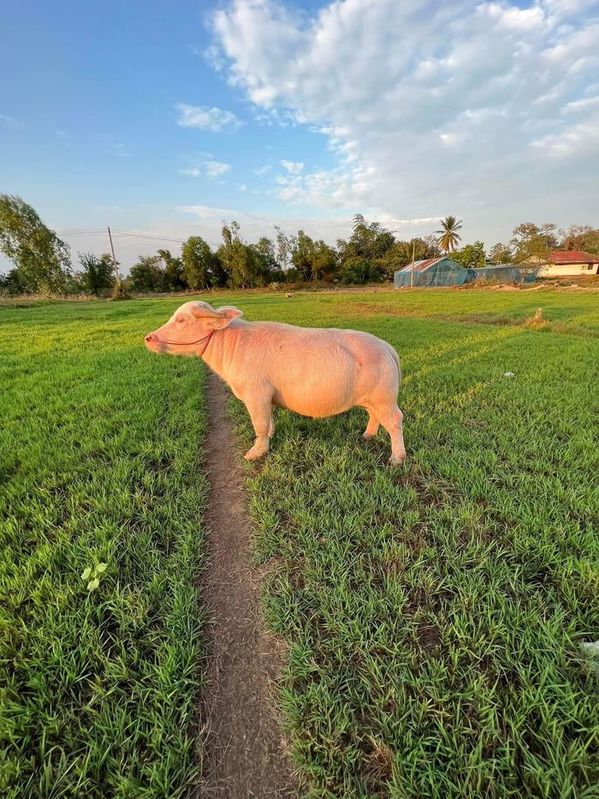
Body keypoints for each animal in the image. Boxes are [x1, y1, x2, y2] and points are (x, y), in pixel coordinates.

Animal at [146, 298, 408, 462]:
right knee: (375, 416)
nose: (149, 338)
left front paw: (254, 453)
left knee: (395, 421)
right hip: (374, 399)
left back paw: (396, 459)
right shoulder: (267, 397)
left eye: (181, 320)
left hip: (385, 398)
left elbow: (259, 425)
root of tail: (387, 348)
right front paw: (270, 437)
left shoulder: (256, 394)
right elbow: (269, 422)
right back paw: (367, 436)